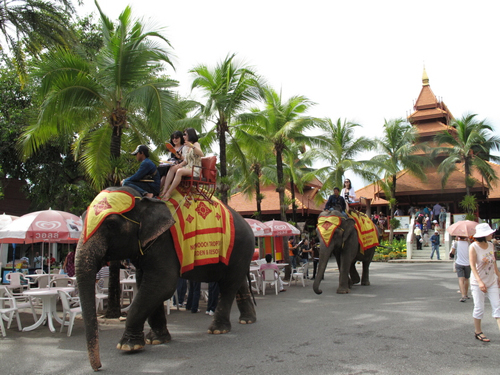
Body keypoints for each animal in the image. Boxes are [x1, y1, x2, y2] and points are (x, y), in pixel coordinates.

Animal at [77, 187, 258, 372]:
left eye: (111, 224)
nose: (98, 367)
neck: (145, 200)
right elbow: (146, 284)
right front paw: (156, 340)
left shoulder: (164, 242)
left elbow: (163, 284)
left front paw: (128, 346)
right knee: (238, 282)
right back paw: (247, 320)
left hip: (240, 247)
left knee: (229, 285)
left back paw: (218, 330)